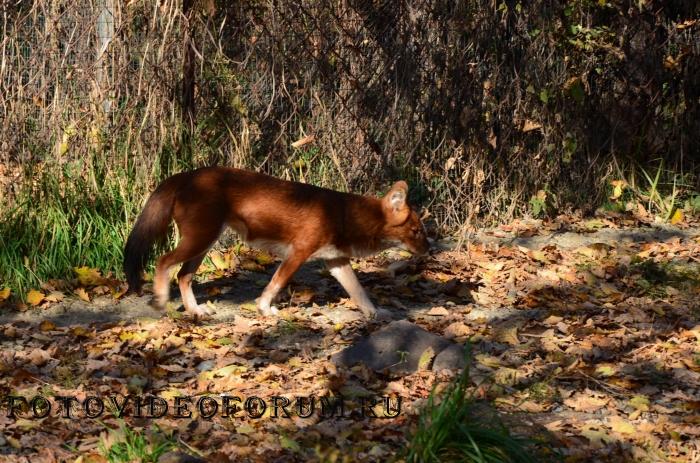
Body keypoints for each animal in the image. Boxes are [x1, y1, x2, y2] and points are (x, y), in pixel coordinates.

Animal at [123, 167, 430, 320]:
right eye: (416, 231)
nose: (430, 250)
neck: (344, 214)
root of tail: (186, 174)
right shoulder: (298, 253)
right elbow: (275, 283)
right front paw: (264, 308)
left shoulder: (336, 261)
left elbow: (359, 292)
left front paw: (376, 313)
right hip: (201, 239)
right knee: (163, 262)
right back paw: (160, 300)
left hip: (204, 242)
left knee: (184, 276)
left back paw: (195, 310)